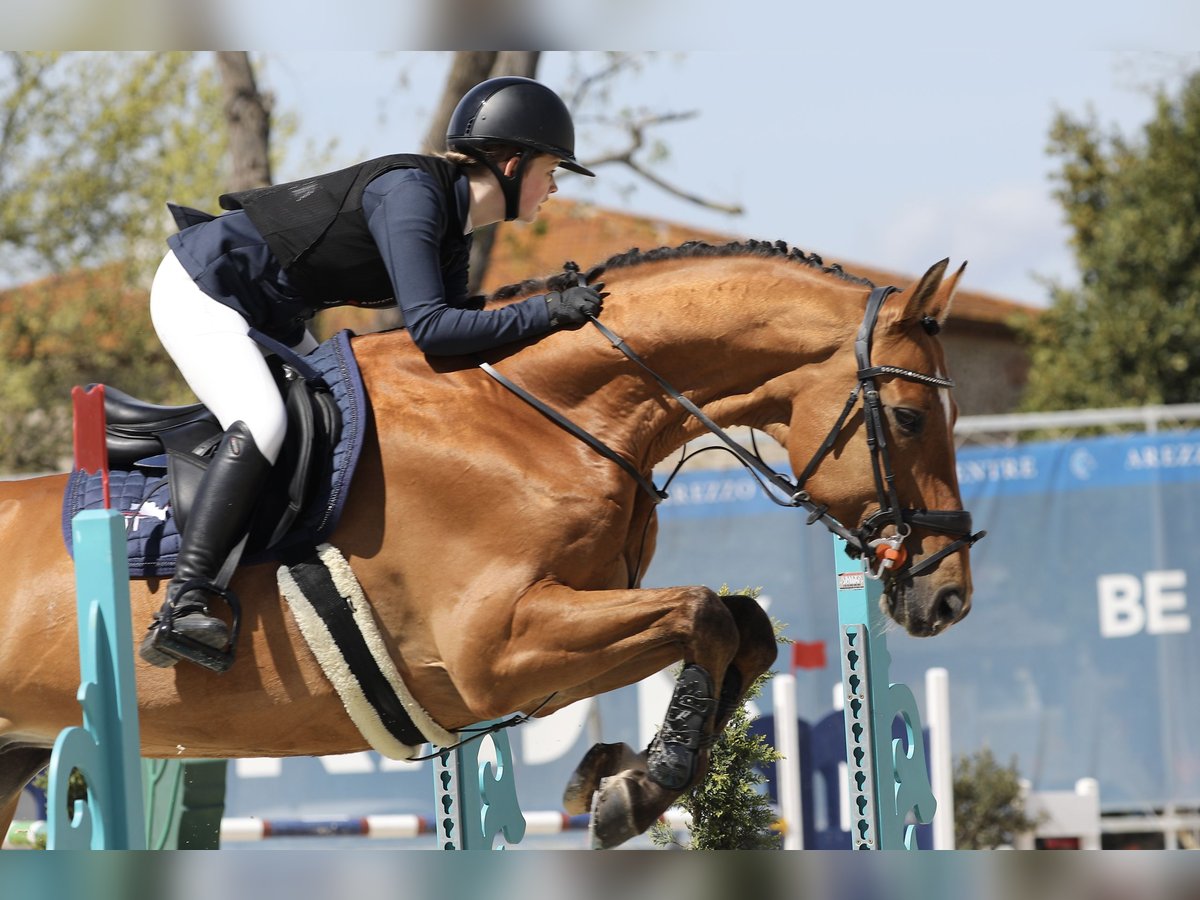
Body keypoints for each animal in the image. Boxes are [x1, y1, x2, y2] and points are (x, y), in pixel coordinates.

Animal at [0, 241, 974, 854]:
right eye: (909, 417)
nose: (949, 594)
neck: (540, 422)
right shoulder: (493, 650)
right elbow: (706, 614)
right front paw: (635, 791)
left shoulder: (552, 637)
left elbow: (743, 628)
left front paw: (613, 775)